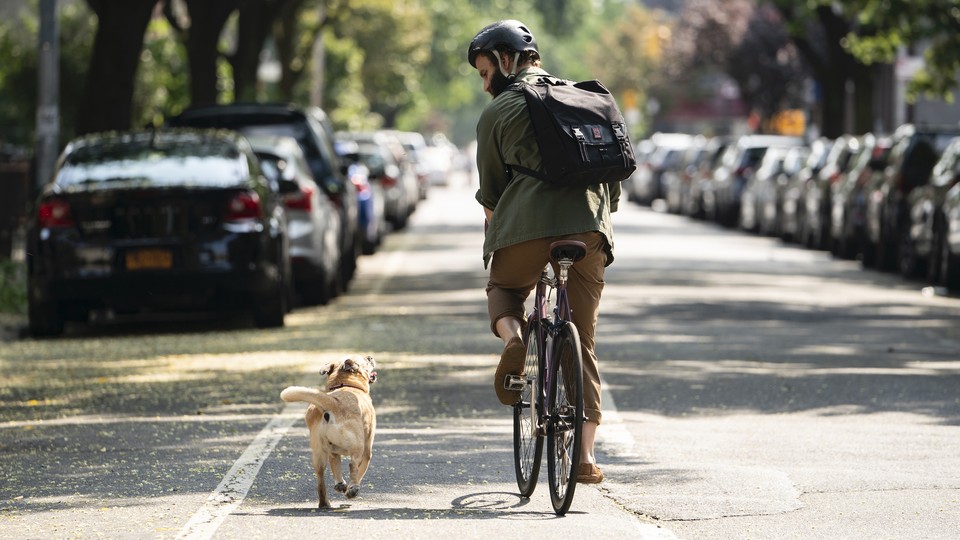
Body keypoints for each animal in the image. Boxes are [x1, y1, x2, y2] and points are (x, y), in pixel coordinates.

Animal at [280, 356, 376, 508]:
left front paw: (341, 485)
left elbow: (336, 466)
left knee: (320, 478)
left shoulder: (333, 453)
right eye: (365, 361)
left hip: (319, 452)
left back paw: (325, 502)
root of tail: (332, 402)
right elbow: (361, 470)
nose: (370, 357)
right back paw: (353, 488)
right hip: (359, 445)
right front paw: (349, 488)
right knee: (353, 465)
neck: (346, 384)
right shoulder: (367, 451)